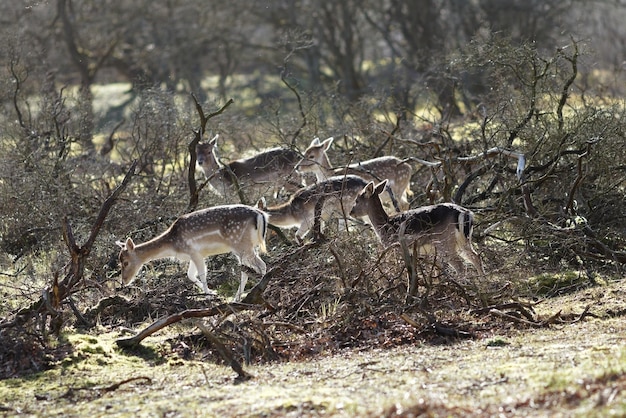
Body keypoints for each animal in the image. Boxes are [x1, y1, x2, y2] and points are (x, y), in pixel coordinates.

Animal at [116, 203, 266, 298]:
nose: (124, 282)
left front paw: (208, 295)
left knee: (260, 265)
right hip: (250, 246)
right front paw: (212, 292)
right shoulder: (194, 255)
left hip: (241, 245)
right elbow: (190, 275)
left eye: (126, 262)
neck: (173, 246)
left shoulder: (194, 252)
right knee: (248, 268)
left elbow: (202, 273)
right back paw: (239, 296)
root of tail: (260, 214)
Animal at [348, 180, 486, 278]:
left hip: (444, 241)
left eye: (357, 200)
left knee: (460, 265)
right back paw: (483, 284)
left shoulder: (395, 248)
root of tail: (466, 213)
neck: (385, 226)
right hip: (463, 241)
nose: (351, 212)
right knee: (475, 257)